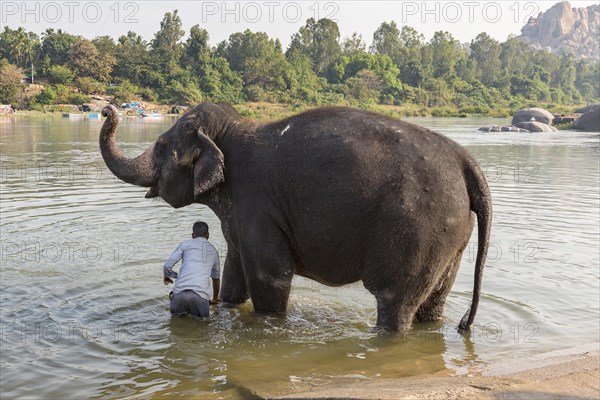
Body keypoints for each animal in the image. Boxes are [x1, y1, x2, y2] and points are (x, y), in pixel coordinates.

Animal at [99, 102, 492, 332]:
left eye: (163, 146)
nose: (105, 109)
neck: (233, 130)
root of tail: (466, 161)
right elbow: (234, 272)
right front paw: (227, 306)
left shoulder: (257, 202)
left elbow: (270, 276)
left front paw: (266, 324)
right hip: (451, 234)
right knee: (434, 301)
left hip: (418, 226)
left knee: (394, 301)